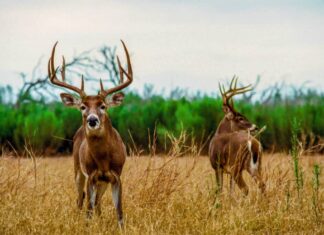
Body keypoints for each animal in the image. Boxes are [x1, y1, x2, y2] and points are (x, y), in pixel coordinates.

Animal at [47, 39, 133, 227]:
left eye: (103, 105)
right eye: (82, 106)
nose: (92, 120)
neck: (103, 160)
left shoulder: (116, 175)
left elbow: (120, 212)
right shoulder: (91, 175)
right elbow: (88, 210)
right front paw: (87, 226)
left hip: (102, 182)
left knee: (98, 202)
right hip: (78, 170)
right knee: (81, 200)